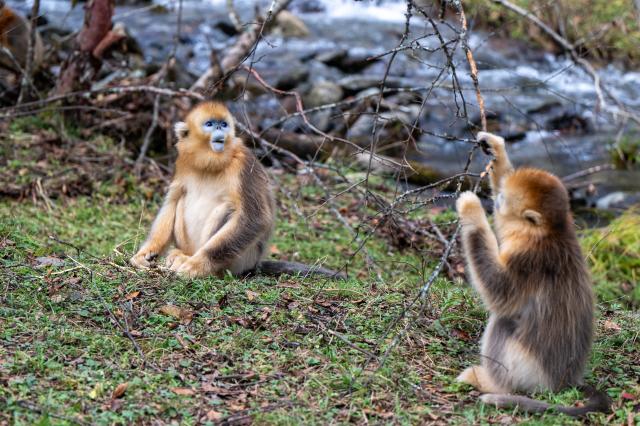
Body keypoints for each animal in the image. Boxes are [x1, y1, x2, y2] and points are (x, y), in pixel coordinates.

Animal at [130, 101, 344, 280]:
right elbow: (172, 200)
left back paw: (197, 263)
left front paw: (197, 266)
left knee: (229, 208)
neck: (210, 163)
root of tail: (255, 263)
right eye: (210, 124)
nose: (219, 129)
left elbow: (254, 218)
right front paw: (146, 253)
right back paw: (180, 255)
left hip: (242, 259)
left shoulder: (243, 163)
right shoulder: (182, 161)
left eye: (224, 124)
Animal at [455, 131, 610, 417]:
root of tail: (563, 383)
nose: (496, 201)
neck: (551, 232)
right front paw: (494, 148)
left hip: (529, 372)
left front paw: (471, 209)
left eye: (503, 200)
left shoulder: (527, 258)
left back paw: (491, 384)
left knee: (503, 320)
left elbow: (500, 293)